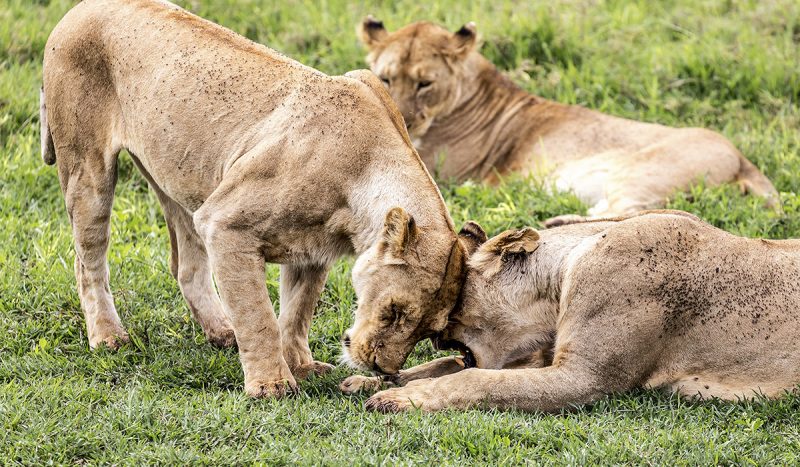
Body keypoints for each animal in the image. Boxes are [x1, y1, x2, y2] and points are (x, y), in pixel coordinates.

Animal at [41, 0, 469, 398]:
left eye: (430, 331)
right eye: (395, 311)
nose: (382, 368)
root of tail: (83, 6)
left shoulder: (312, 253)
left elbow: (297, 312)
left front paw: (300, 365)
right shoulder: (224, 223)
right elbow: (258, 314)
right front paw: (272, 385)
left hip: (177, 179)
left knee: (186, 265)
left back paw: (221, 331)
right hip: (87, 167)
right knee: (88, 258)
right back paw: (108, 337)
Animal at [341, 211, 800, 412]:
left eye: (452, 309)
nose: (438, 337)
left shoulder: (585, 379)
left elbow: (477, 379)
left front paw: (402, 398)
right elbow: (447, 367)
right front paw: (368, 382)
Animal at [357, 18, 779, 224]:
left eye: (425, 83)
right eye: (387, 78)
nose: (402, 119)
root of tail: (743, 158)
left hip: (641, 173)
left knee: (641, 212)